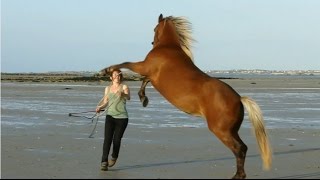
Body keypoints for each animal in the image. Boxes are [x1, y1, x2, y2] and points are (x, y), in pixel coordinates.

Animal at [99, 14, 270, 179]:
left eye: (154, 28)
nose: (152, 41)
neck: (168, 48)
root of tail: (239, 99)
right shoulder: (150, 75)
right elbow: (144, 80)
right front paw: (143, 98)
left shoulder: (143, 66)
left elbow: (126, 63)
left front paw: (106, 70)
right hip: (232, 130)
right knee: (243, 148)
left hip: (221, 131)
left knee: (239, 149)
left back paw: (238, 175)